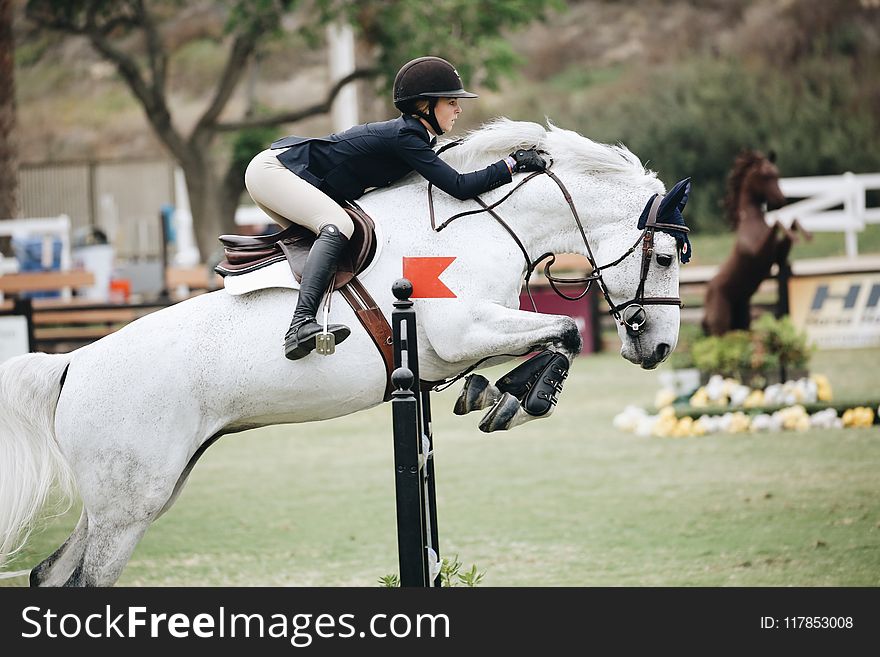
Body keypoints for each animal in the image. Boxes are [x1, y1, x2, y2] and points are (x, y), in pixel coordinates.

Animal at [0, 118, 688, 584]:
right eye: (663, 256)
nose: (658, 347)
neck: (484, 225)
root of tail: (71, 365)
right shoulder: (460, 331)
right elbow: (566, 331)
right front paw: (518, 397)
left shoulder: (464, 340)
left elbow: (553, 336)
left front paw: (494, 394)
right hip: (128, 506)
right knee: (85, 582)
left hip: (135, 495)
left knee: (51, 575)